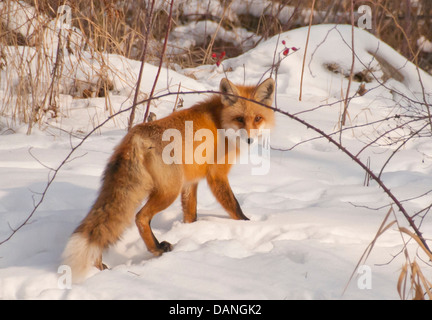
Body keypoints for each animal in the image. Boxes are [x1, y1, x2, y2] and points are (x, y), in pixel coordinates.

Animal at [62, 76, 276, 282]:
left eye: (258, 118)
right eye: (239, 119)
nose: (250, 140)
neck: (220, 122)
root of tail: (135, 137)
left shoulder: (190, 182)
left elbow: (190, 214)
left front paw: (191, 233)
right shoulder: (217, 176)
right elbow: (235, 207)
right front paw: (249, 226)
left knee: (102, 229)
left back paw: (99, 268)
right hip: (169, 192)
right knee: (140, 217)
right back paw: (157, 249)